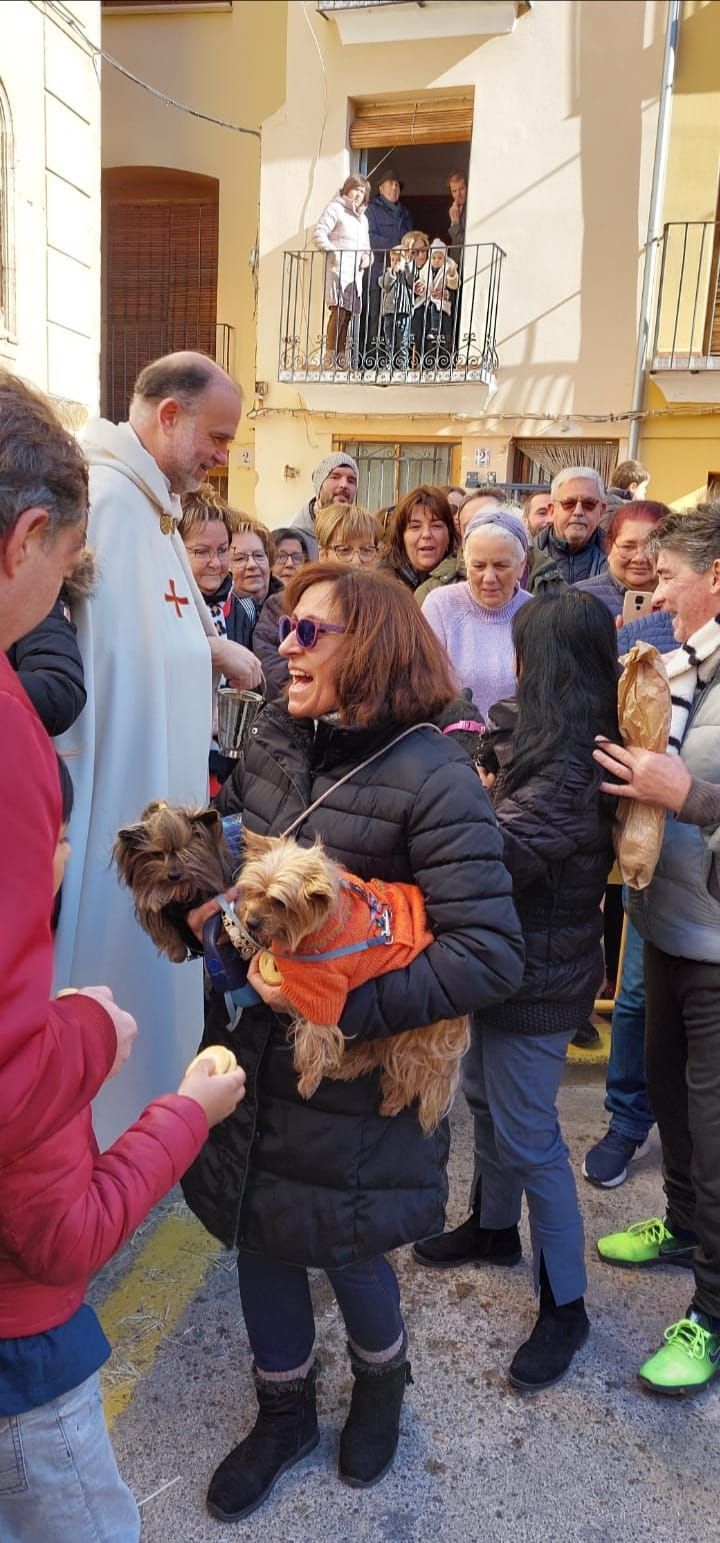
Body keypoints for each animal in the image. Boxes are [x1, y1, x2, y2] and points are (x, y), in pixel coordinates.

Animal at [114, 808, 468, 1135]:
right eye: (253, 891)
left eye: (280, 903)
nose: (251, 922)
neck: (317, 928)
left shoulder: (325, 991)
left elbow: (315, 1033)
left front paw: (307, 1080)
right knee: (374, 1052)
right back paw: (349, 1068)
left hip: (417, 1030)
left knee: (409, 1070)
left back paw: (392, 1102)